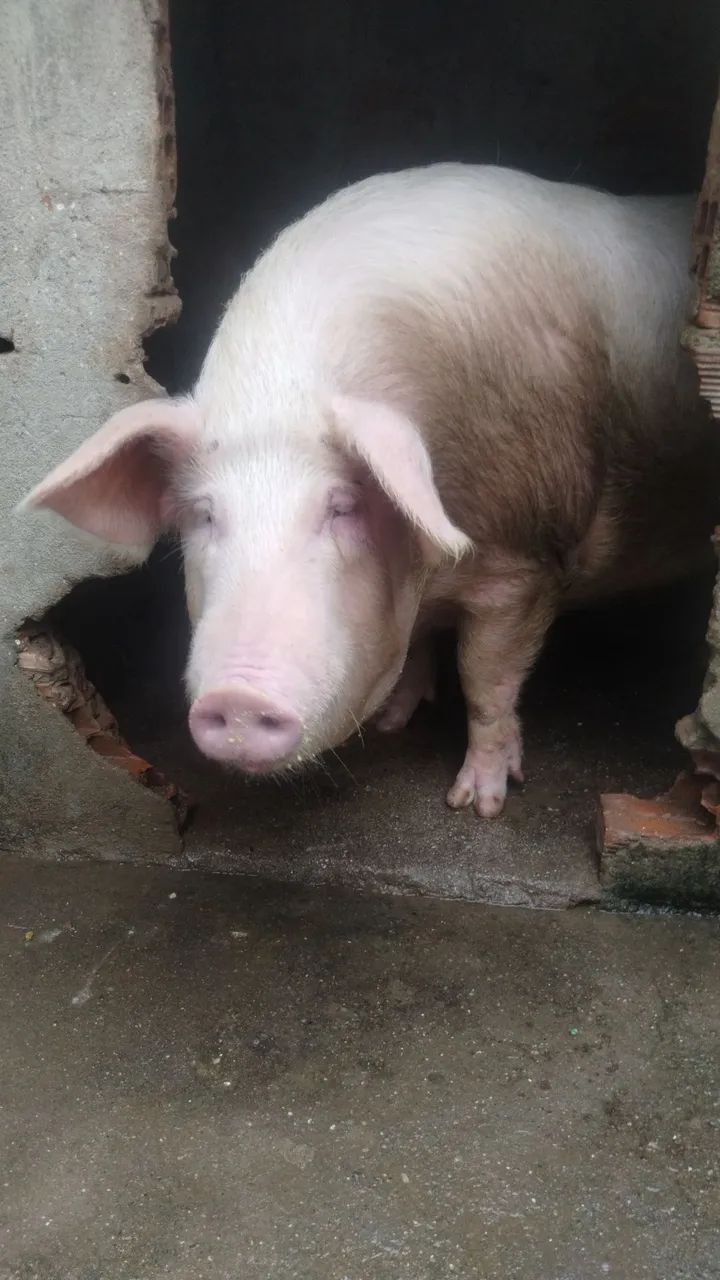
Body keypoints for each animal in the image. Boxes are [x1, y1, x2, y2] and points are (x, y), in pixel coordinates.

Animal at [22, 164, 719, 817]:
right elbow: (420, 647)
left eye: (342, 507)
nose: (238, 699)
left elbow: (486, 681)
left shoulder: (527, 562)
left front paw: (477, 804)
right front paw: (391, 725)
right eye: (205, 515)